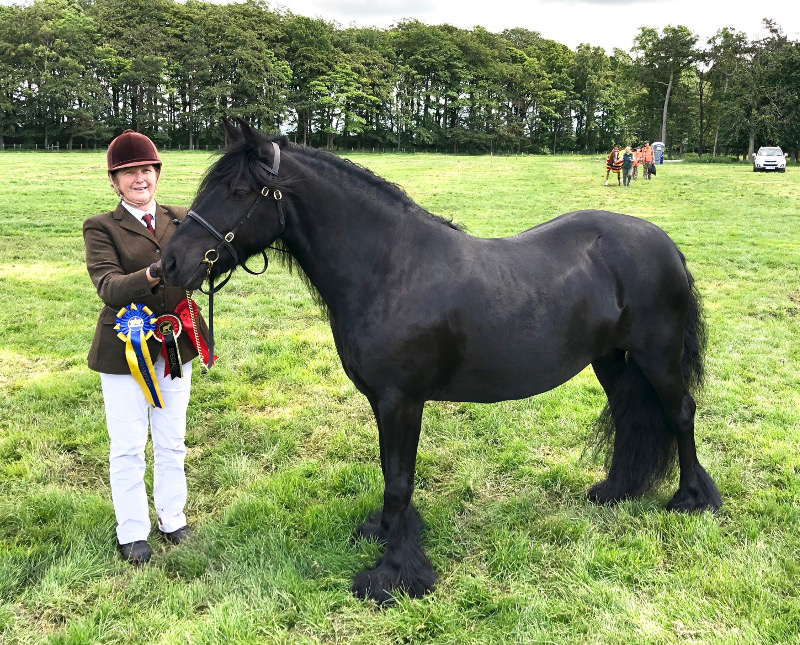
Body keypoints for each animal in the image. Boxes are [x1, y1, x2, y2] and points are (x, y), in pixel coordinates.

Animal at [161, 119, 720, 604]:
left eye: (237, 192)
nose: (168, 262)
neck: (388, 269)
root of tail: (664, 243)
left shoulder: (402, 401)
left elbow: (399, 480)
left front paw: (392, 575)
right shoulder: (384, 402)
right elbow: (389, 472)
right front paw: (385, 534)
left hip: (657, 356)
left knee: (680, 414)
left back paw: (693, 500)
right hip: (612, 360)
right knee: (632, 415)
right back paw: (618, 490)